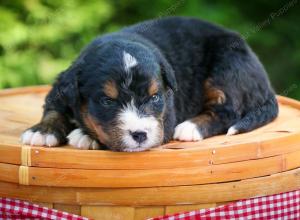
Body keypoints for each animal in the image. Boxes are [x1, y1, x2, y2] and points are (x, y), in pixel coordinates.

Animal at [20, 16, 278, 151]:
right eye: (107, 101)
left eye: (155, 97)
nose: (140, 135)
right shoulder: (59, 91)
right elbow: (53, 109)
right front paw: (42, 131)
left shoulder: (166, 117)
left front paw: (85, 135)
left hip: (228, 65)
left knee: (227, 111)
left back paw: (190, 127)